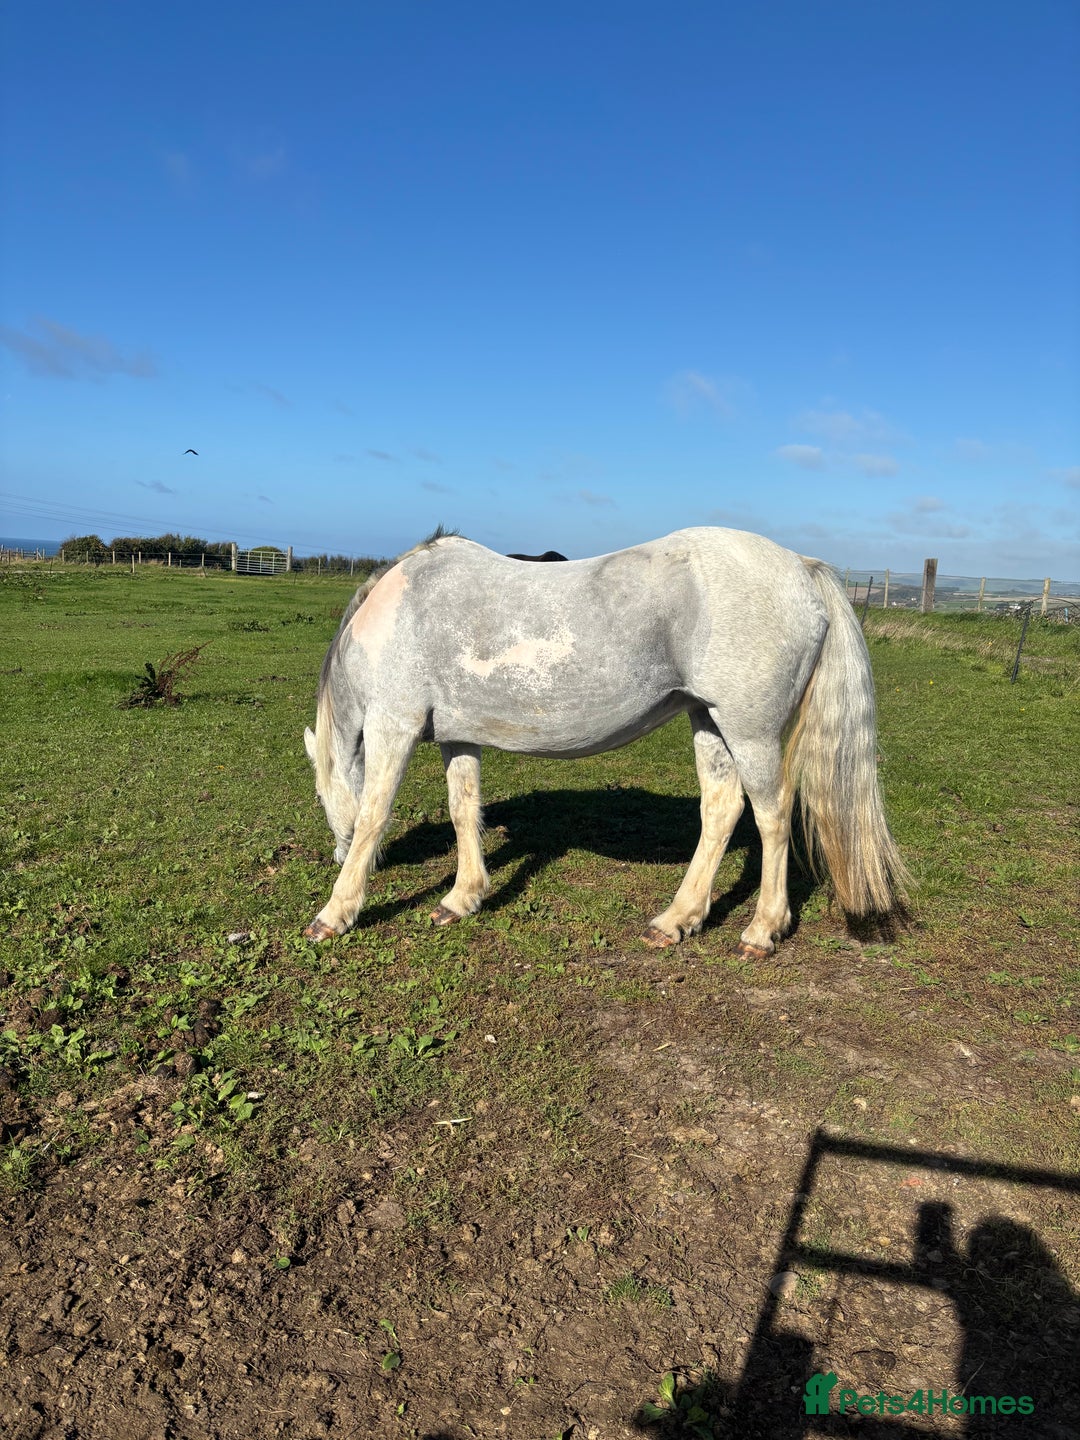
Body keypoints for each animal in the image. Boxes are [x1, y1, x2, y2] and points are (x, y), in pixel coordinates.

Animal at [302, 527, 907, 951]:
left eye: (321, 797)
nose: (335, 857)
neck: (395, 615)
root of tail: (801, 568)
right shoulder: (459, 736)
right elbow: (463, 809)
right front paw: (461, 898)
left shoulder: (393, 723)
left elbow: (373, 814)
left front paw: (336, 912)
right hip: (709, 721)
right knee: (721, 810)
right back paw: (677, 920)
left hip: (750, 731)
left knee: (773, 815)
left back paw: (762, 930)